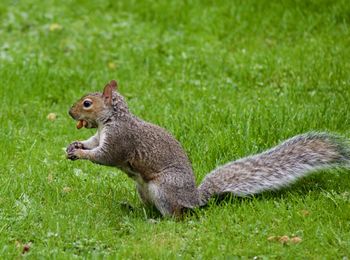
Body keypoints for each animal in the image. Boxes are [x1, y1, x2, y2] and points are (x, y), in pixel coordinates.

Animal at [66, 80, 350, 216]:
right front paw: (75, 145)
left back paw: (157, 220)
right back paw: (135, 210)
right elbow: (93, 144)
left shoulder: (120, 140)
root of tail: (194, 199)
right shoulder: (101, 135)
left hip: (163, 188)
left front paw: (80, 153)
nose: (69, 112)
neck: (112, 120)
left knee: (176, 215)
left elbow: (104, 156)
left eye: (87, 103)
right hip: (143, 189)